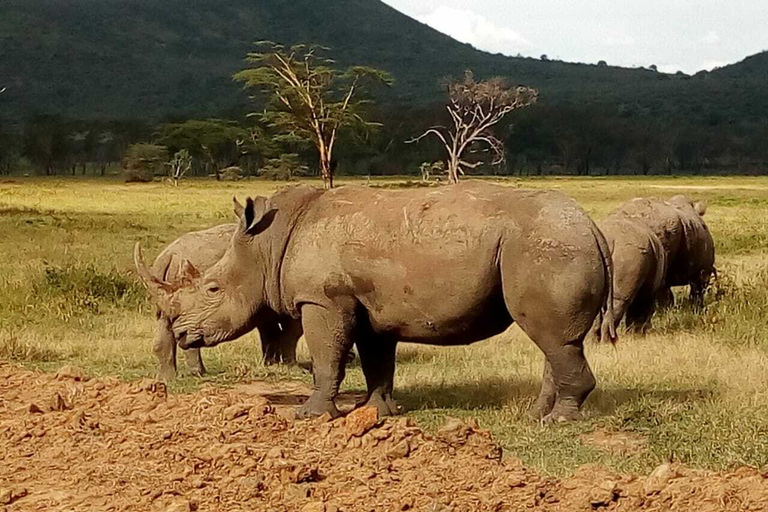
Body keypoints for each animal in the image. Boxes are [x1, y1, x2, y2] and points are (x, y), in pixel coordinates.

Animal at [144, 224, 300, 380]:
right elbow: (291, 333)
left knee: (167, 316)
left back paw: (167, 378)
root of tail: (168, 255)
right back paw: (199, 373)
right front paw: (289, 366)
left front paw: (273, 364)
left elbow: (274, 332)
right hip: (201, 262)